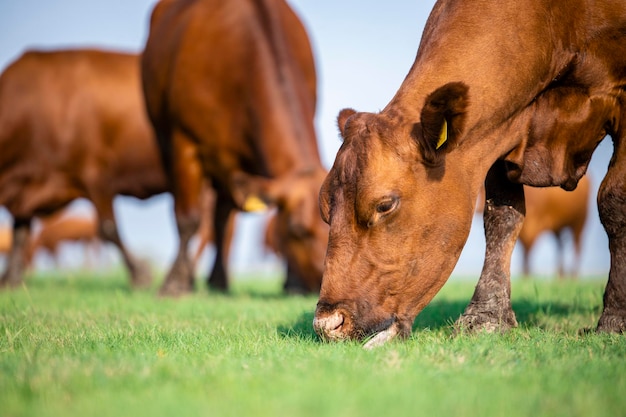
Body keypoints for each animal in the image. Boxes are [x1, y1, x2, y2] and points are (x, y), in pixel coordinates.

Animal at [0, 48, 166, 288]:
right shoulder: (26, 189)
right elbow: (20, 233)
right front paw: (10, 279)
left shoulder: (96, 173)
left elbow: (108, 228)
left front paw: (140, 273)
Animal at [141, 0, 326, 296]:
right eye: (297, 230)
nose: (323, 283)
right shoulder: (185, 142)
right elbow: (188, 218)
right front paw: (174, 285)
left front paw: (292, 283)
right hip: (166, 138)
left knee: (221, 217)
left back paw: (218, 280)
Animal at [314, 0, 624, 346]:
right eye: (325, 209)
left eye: (384, 205)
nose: (328, 323)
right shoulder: (497, 135)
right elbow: (501, 219)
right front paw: (486, 317)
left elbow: (614, 203)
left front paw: (614, 320)